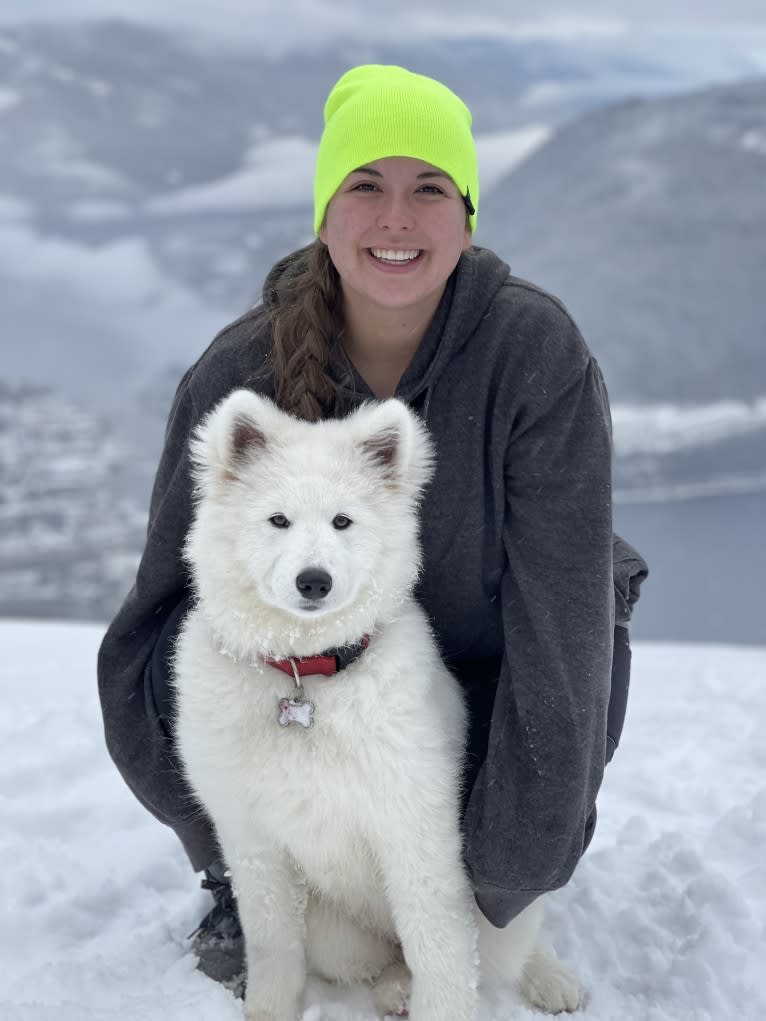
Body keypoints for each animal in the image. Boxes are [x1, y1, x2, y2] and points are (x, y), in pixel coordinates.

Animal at [173, 392, 580, 1021]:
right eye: (277, 520)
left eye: (343, 521)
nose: (313, 581)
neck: (305, 677)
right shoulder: (254, 842)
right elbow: (272, 947)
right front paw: (268, 1010)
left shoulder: (415, 827)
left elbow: (440, 950)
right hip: (336, 934)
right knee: (382, 960)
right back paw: (394, 990)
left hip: (499, 899)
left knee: (504, 947)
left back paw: (549, 980)